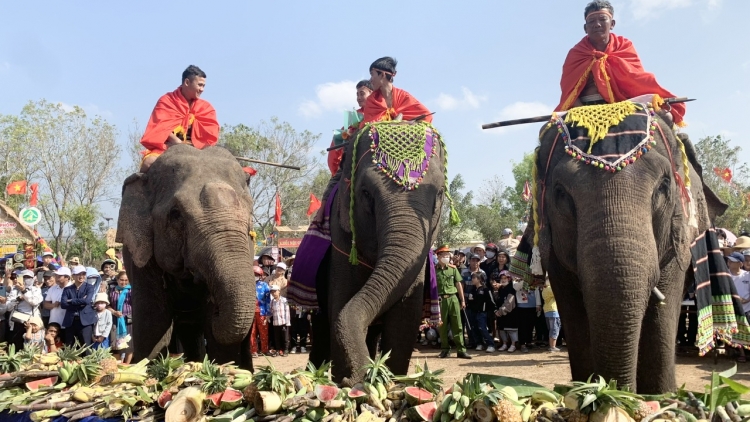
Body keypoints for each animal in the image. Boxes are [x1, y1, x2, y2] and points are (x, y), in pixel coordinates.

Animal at [116, 144, 258, 370]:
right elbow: (154, 324)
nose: (217, 308)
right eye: (176, 214)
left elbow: (217, 339)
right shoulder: (141, 258)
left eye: (250, 216)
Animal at [302, 120, 456, 384]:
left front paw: (393, 381)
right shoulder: (341, 242)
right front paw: (348, 382)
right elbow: (340, 308)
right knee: (322, 328)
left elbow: (404, 321)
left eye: (438, 194)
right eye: (365, 193)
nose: (355, 378)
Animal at [524, 104, 732, 394]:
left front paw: (661, 397)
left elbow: (661, 312)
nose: (613, 390)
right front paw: (586, 392)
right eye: (560, 193)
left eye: (663, 187)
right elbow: (573, 311)